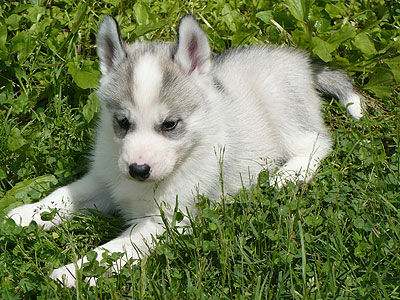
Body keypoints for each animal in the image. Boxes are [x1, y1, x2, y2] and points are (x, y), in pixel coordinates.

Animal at [6, 14, 364, 286]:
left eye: (170, 125)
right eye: (122, 122)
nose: (138, 170)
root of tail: (296, 59)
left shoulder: (165, 221)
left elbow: (113, 249)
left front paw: (74, 272)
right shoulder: (105, 181)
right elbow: (63, 196)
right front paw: (26, 215)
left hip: (282, 109)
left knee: (317, 141)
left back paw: (288, 175)